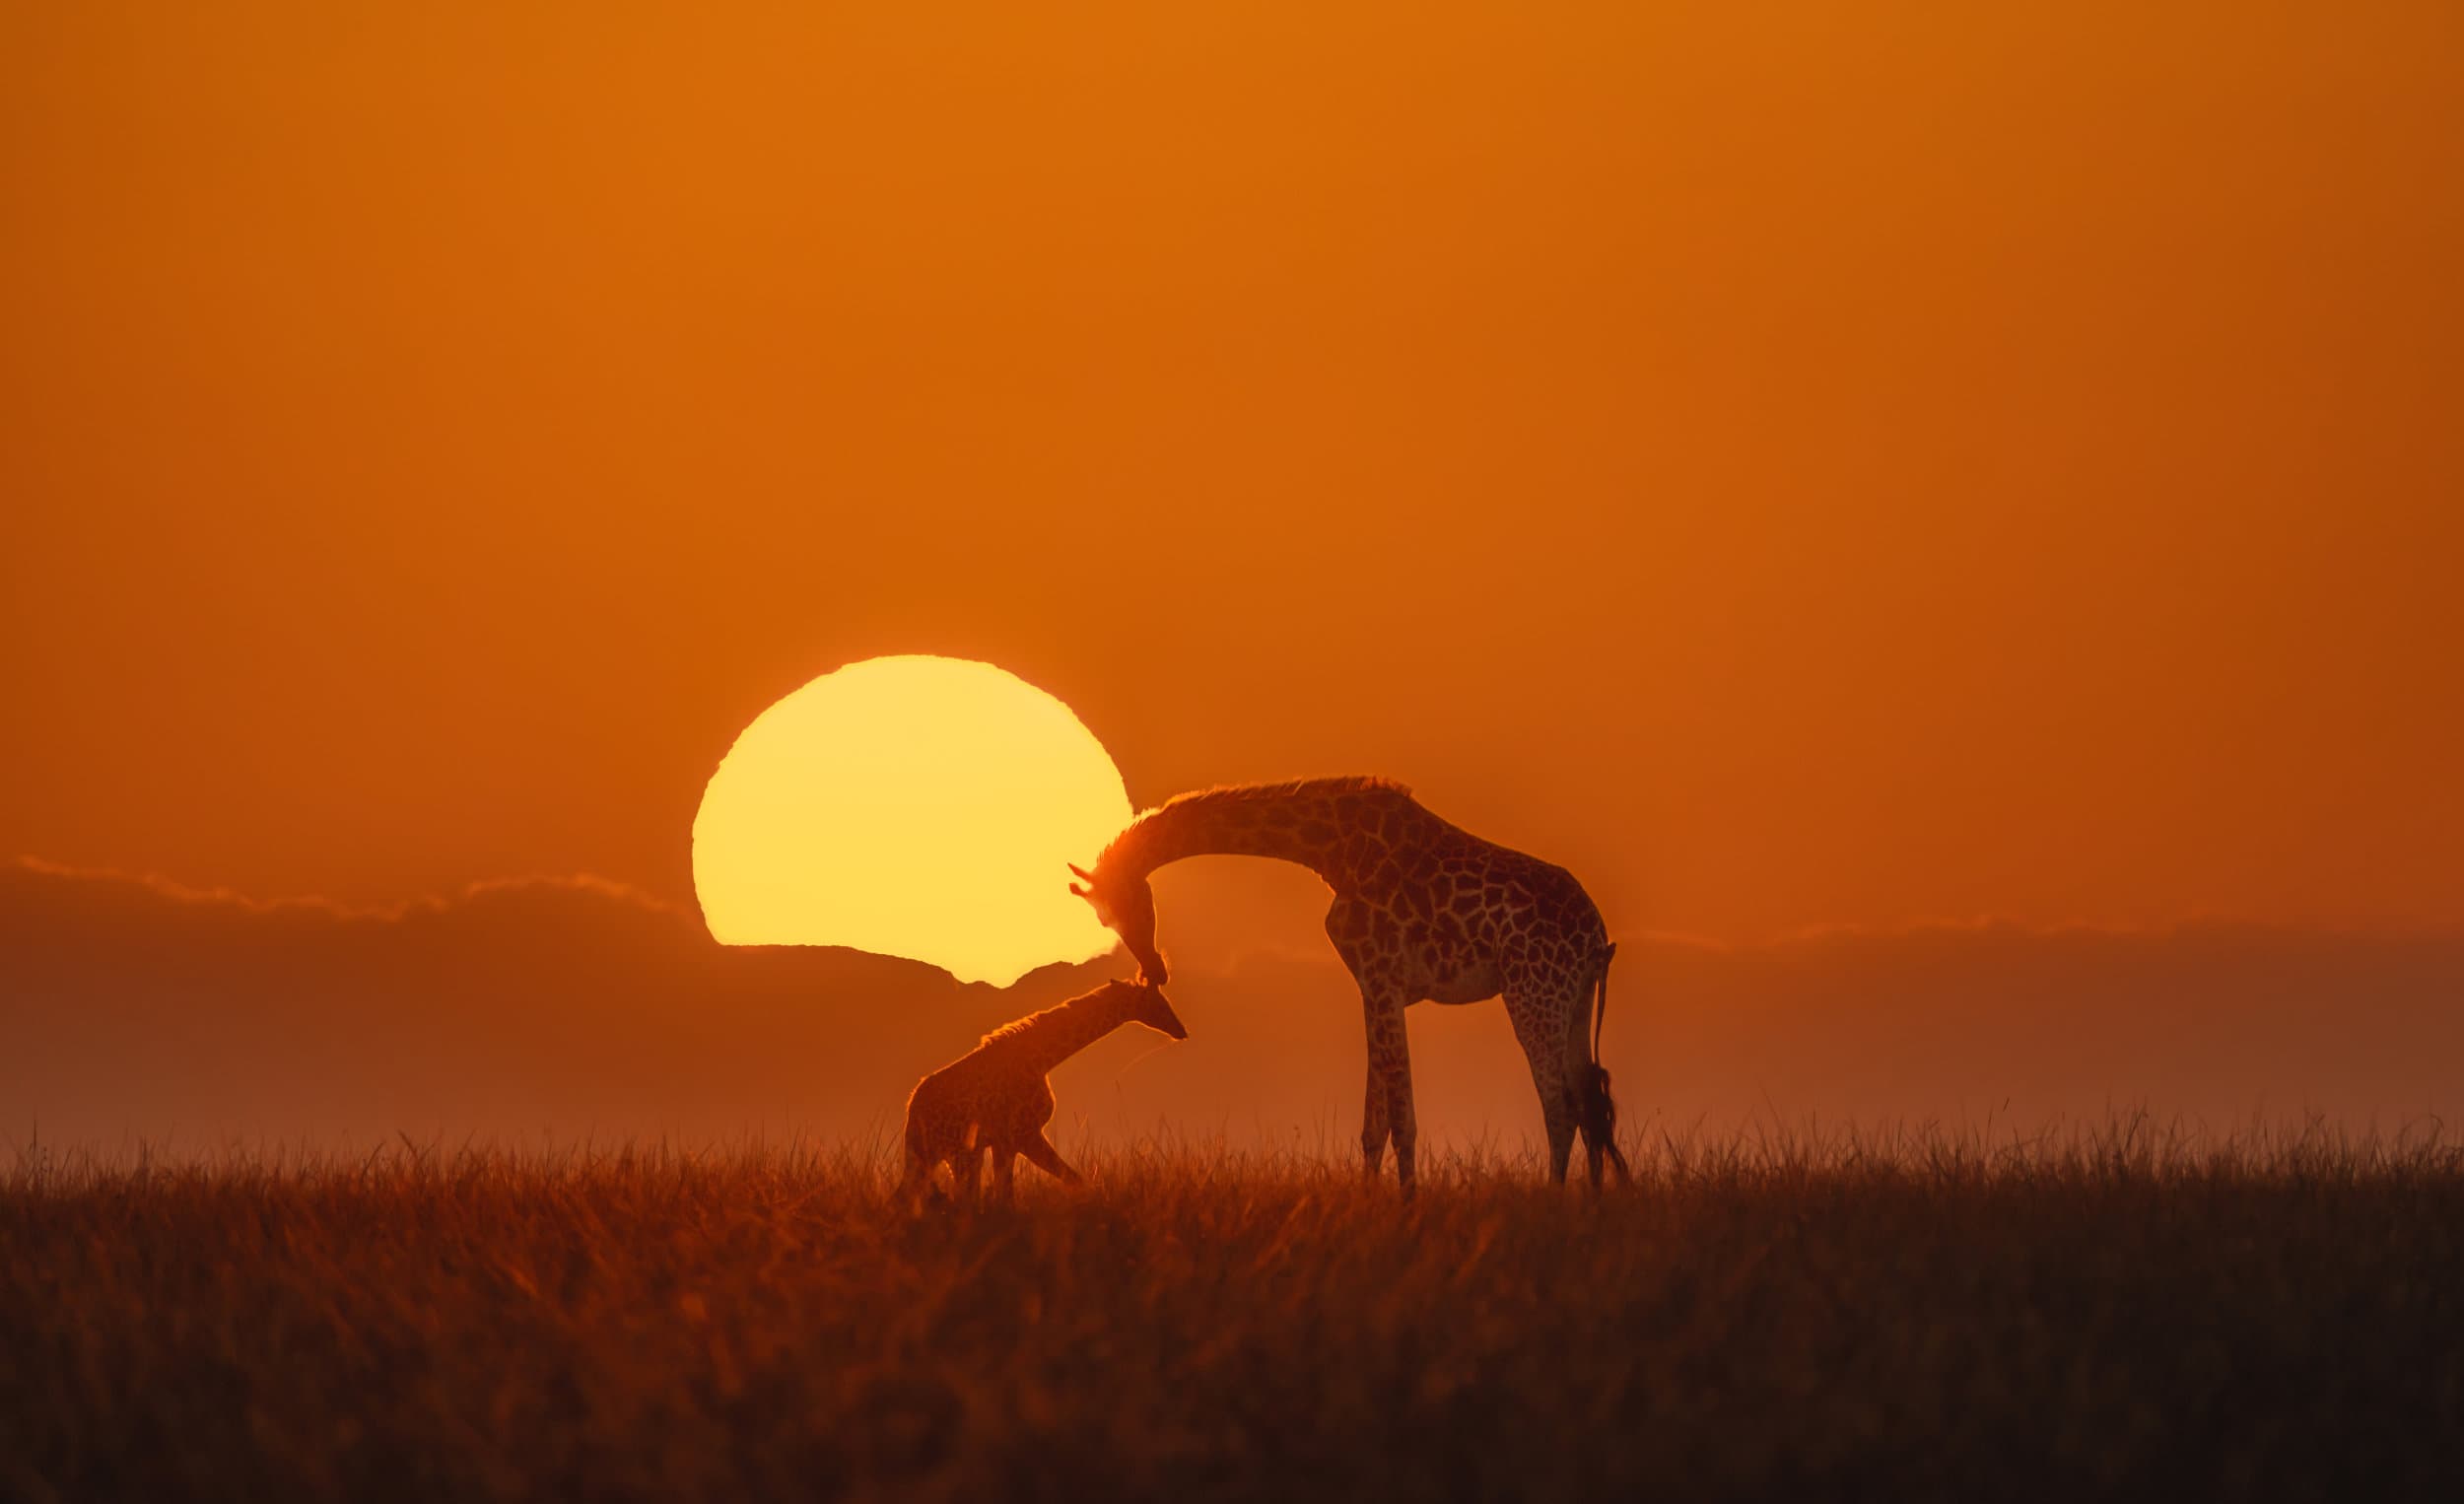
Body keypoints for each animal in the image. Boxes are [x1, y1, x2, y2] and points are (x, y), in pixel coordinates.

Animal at [899, 977, 1187, 1205]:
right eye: (1158, 1003)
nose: (1181, 1030)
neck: (1042, 1058)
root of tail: (912, 1108)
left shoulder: (1005, 1142)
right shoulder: (1021, 1135)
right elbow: (1033, 1191)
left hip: (946, 1155)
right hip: (954, 1155)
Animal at [1069, 777, 1631, 1192]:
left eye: (1113, 910)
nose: (1155, 970)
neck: (1331, 849)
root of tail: (1598, 936)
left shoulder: (1382, 977)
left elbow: (1400, 1117)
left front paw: (1408, 1205)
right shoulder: (1372, 984)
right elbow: (1374, 1123)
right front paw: (1371, 1201)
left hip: (1532, 993)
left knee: (1560, 1105)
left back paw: (1555, 1200)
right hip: (1574, 999)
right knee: (1589, 1102)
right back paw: (1591, 1204)